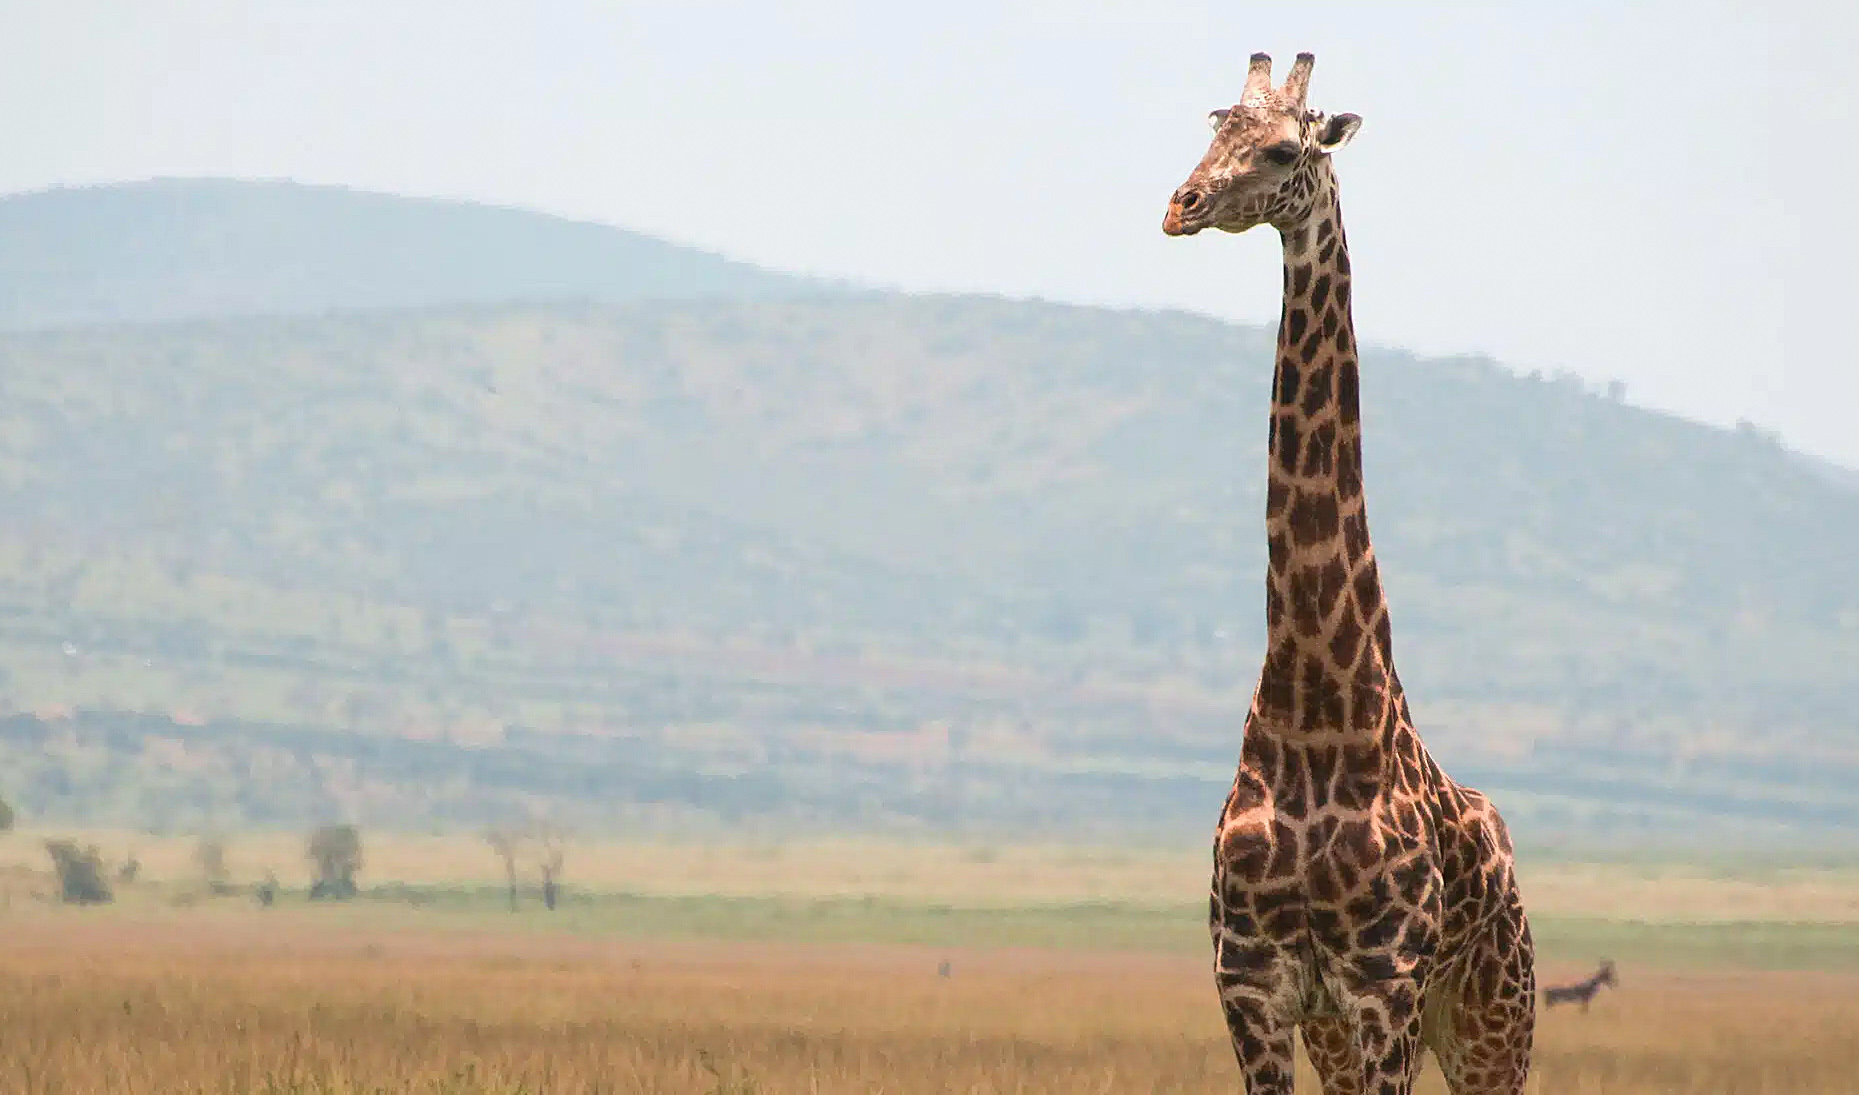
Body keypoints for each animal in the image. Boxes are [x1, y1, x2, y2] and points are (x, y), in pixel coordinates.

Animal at [1160, 53, 1536, 1094]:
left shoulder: (1385, 986)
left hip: (1495, 1019)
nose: (1180, 204)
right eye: (1214, 126)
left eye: (1285, 150)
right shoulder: (1254, 987)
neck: (1313, 704)